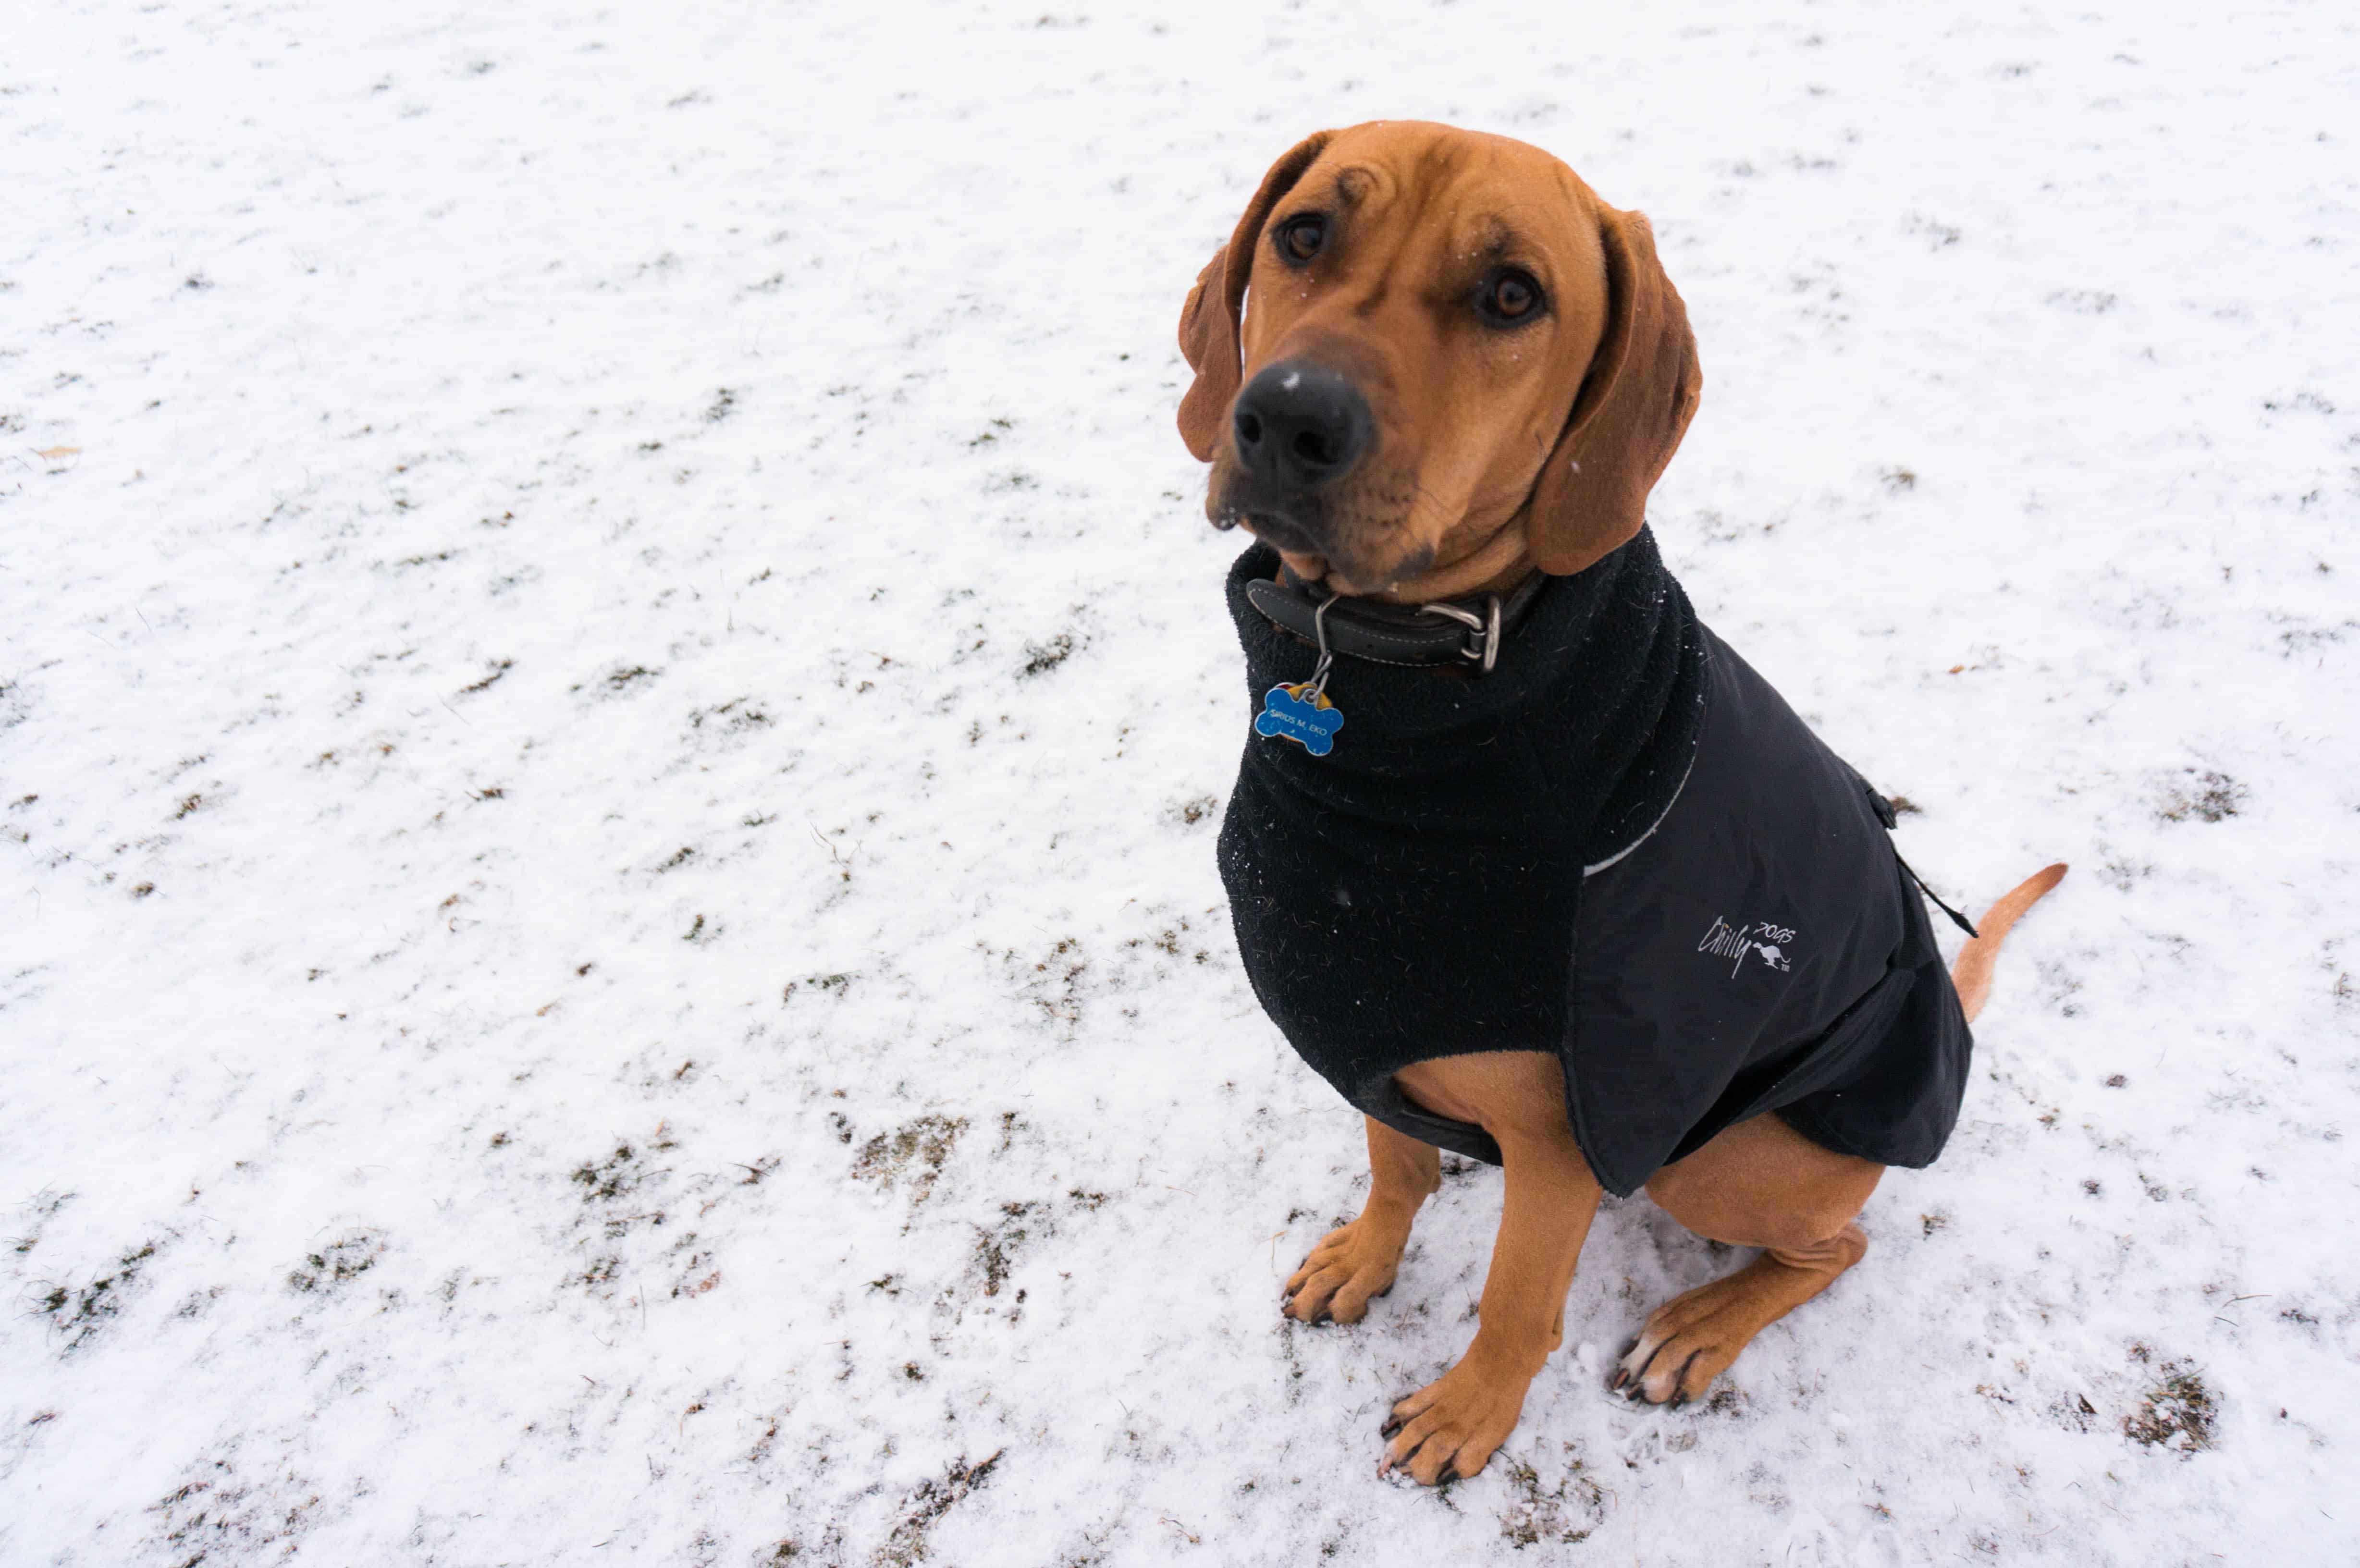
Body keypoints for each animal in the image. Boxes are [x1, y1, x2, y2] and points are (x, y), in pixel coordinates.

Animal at [1180, 119, 2067, 1483]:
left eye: (1511, 297)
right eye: (1303, 233)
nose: (1284, 418)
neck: (1396, 681)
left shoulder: (1558, 1143)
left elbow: (1514, 1300)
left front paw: (1467, 1412)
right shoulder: (1369, 1020)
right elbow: (1393, 1166)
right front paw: (1366, 1258)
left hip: (1730, 1154)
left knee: (1837, 1244)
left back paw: (1699, 1327)